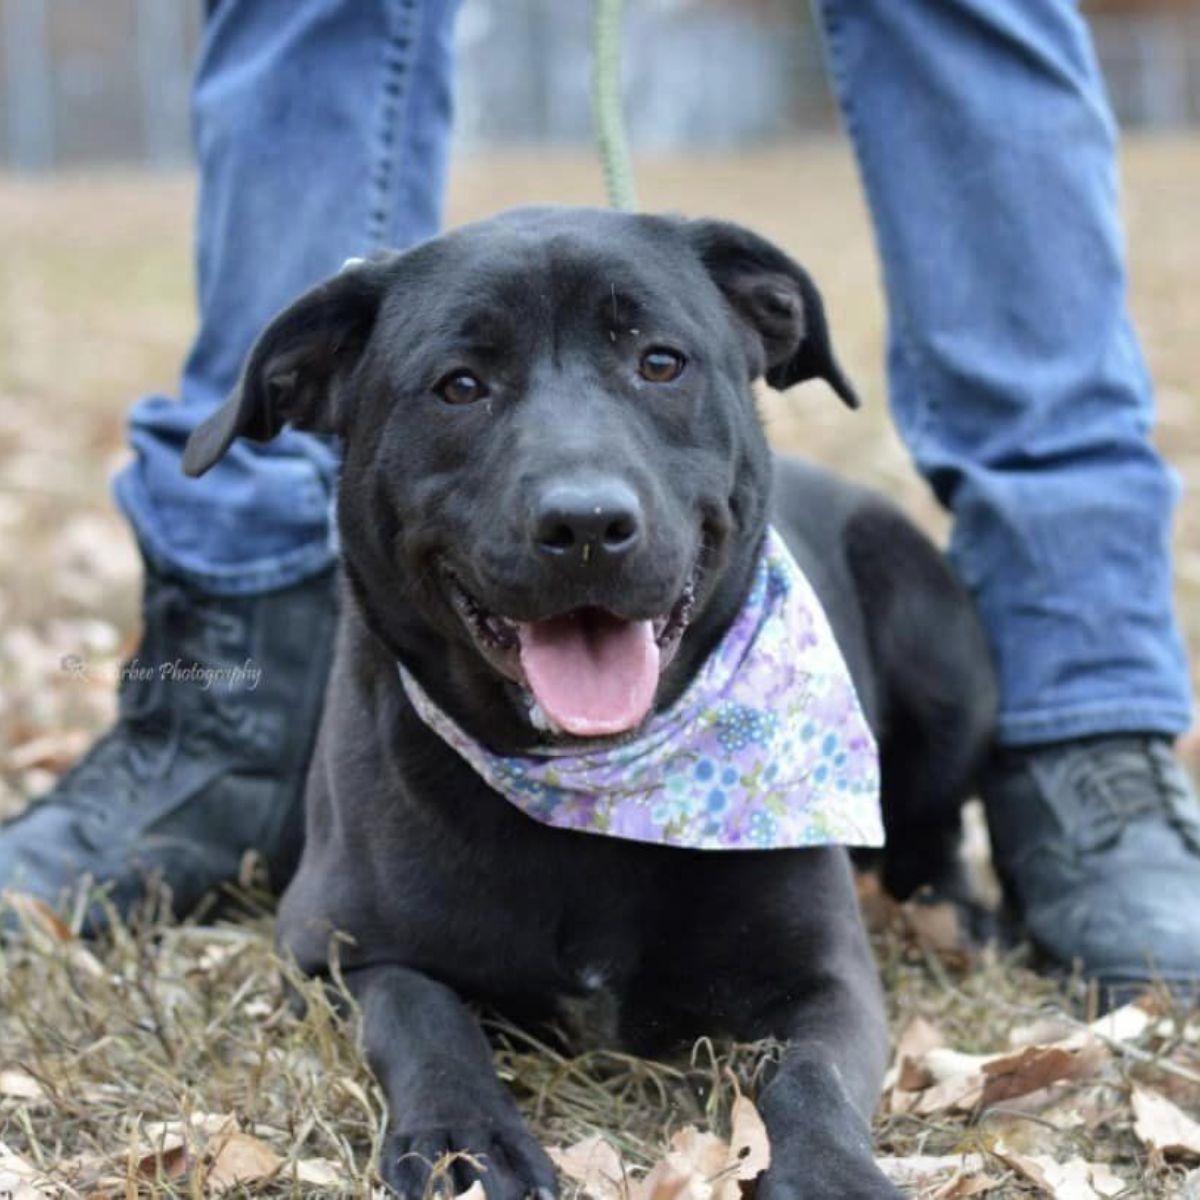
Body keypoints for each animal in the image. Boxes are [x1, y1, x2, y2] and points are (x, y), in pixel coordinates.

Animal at [182, 211, 998, 1195]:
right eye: (460, 386)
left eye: (660, 362)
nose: (585, 526)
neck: (598, 783)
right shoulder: (328, 946)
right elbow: (419, 1013)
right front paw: (468, 1138)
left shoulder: (824, 975)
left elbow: (808, 1076)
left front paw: (832, 1174)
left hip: (939, 649)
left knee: (936, 817)